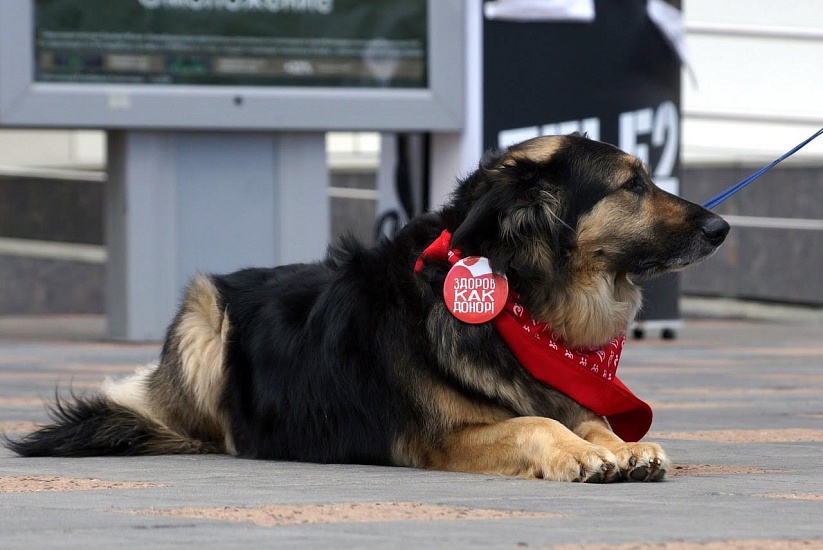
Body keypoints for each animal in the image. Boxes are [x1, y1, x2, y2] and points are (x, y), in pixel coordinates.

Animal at [3, 136, 732, 486]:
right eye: (631, 185)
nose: (723, 228)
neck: (520, 303)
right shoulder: (439, 438)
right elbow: (533, 423)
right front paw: (576, 453)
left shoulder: (556, 387)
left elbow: (588, 419)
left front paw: (621, 446)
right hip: (204, 319)